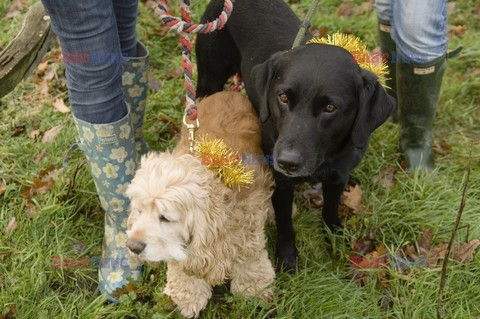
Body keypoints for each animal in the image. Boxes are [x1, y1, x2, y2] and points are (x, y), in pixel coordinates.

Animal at [195, 0, 394, 272]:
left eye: (330, 108)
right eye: (283, 97)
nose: (287, 162)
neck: (324, 158)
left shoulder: (339, 176)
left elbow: (330, 209)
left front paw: (334, 238)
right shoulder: (281, 183)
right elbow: (285, 223)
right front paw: (287, 257)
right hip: (210, 78)